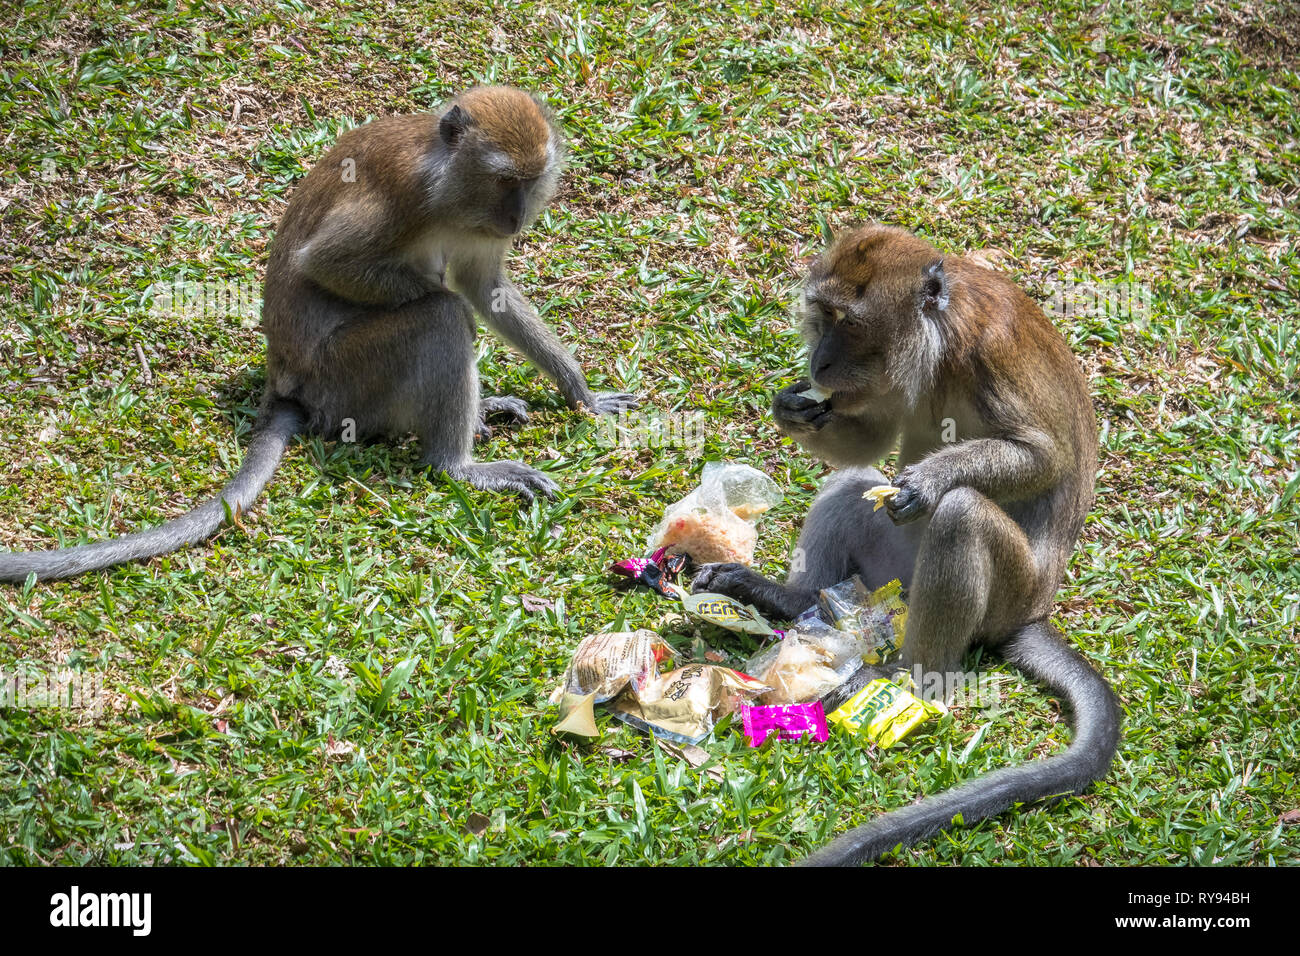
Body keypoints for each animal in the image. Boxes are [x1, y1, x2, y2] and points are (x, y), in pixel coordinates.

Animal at [0, 85, 639, 582]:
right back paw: (455, 464)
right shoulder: (407, 199)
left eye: (530, 182)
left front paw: (579, 392)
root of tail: (287, 388)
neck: (447, 182)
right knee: (436, 318)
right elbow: (332, 265)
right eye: (503, 179)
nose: (516, 217)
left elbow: (489, 290)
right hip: (346, 378)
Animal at [696, 223, 1123, 868]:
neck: (939, 349)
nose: (819, 361)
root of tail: (1034, 612)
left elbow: (1043, 456)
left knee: (961, 515)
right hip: (891, 567)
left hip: (1009, 591)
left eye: (848, 322)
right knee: (856, 485)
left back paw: (911, 678)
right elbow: (868, 441)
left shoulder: (989, 350)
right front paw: (791, 408)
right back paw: (790, 601)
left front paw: (931, 479)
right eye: (822, 316)